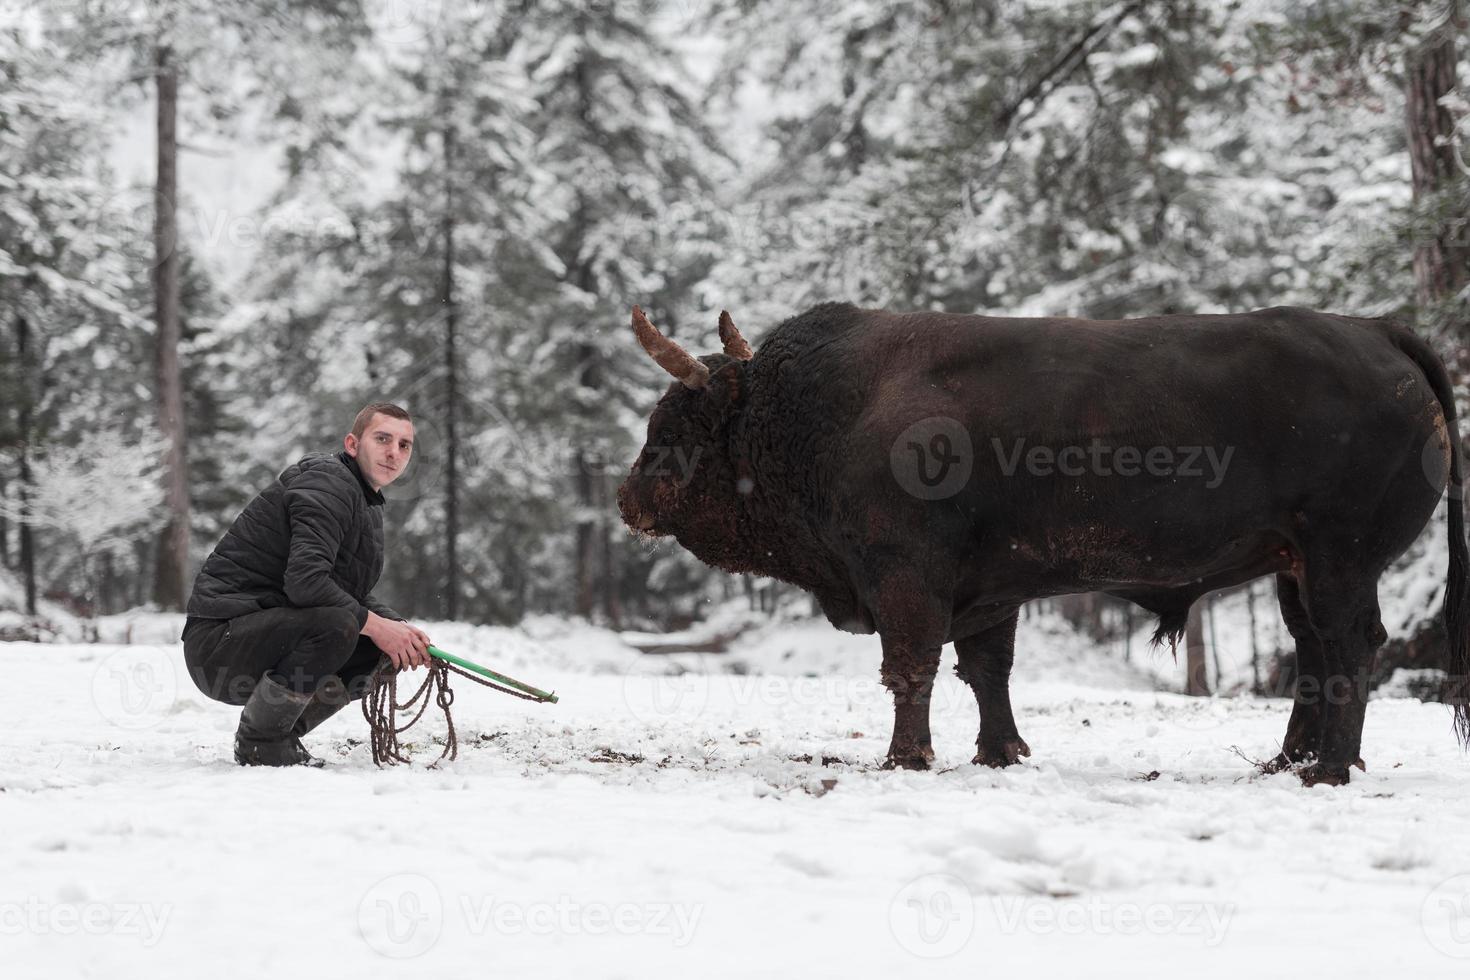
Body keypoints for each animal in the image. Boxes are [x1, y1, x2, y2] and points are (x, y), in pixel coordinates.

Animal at [614, 302, 1464, 787]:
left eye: (674, 425)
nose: (626, 499)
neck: (823, 410)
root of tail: (1376, 332)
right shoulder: (990, 588)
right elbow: (986, 671)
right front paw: (998, 752)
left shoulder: (907, 581)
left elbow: (912, 670)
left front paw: (905, 758)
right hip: (1298, 567)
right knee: (1314, 653)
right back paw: (1289, 761)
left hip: (1340, 559)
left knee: (1349, 648)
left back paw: (1328, 770)